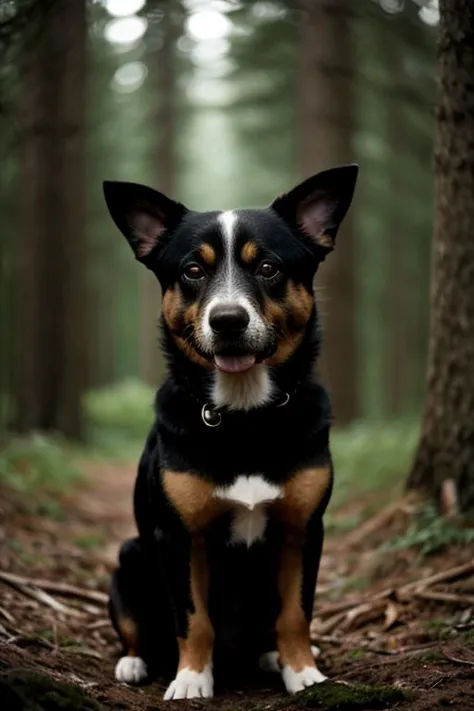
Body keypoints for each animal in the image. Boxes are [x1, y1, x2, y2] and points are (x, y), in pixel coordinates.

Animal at [103, 163, 360, 700]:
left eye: (268, 268)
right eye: (192, 271)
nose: (227, 320)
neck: (245, 417)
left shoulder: (303, 530)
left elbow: (295, 613)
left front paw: (303, 672)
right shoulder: (179, 538)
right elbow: (193, 619)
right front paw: (191, 679)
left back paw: (269, 657)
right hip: (131, 556)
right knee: (137, 629)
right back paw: (134, 663)